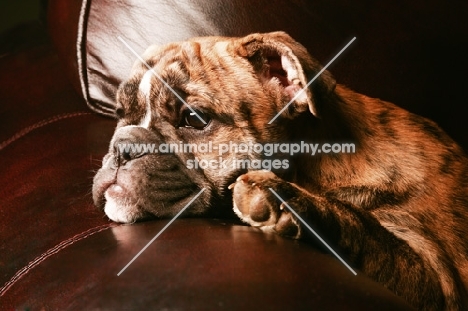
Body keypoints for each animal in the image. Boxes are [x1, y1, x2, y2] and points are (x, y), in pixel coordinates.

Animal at [92, 31, 468, 310]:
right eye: (119, 114)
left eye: (194, 118)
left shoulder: (438, 278)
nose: (123, 146)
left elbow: (365, 227)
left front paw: (283, 199)